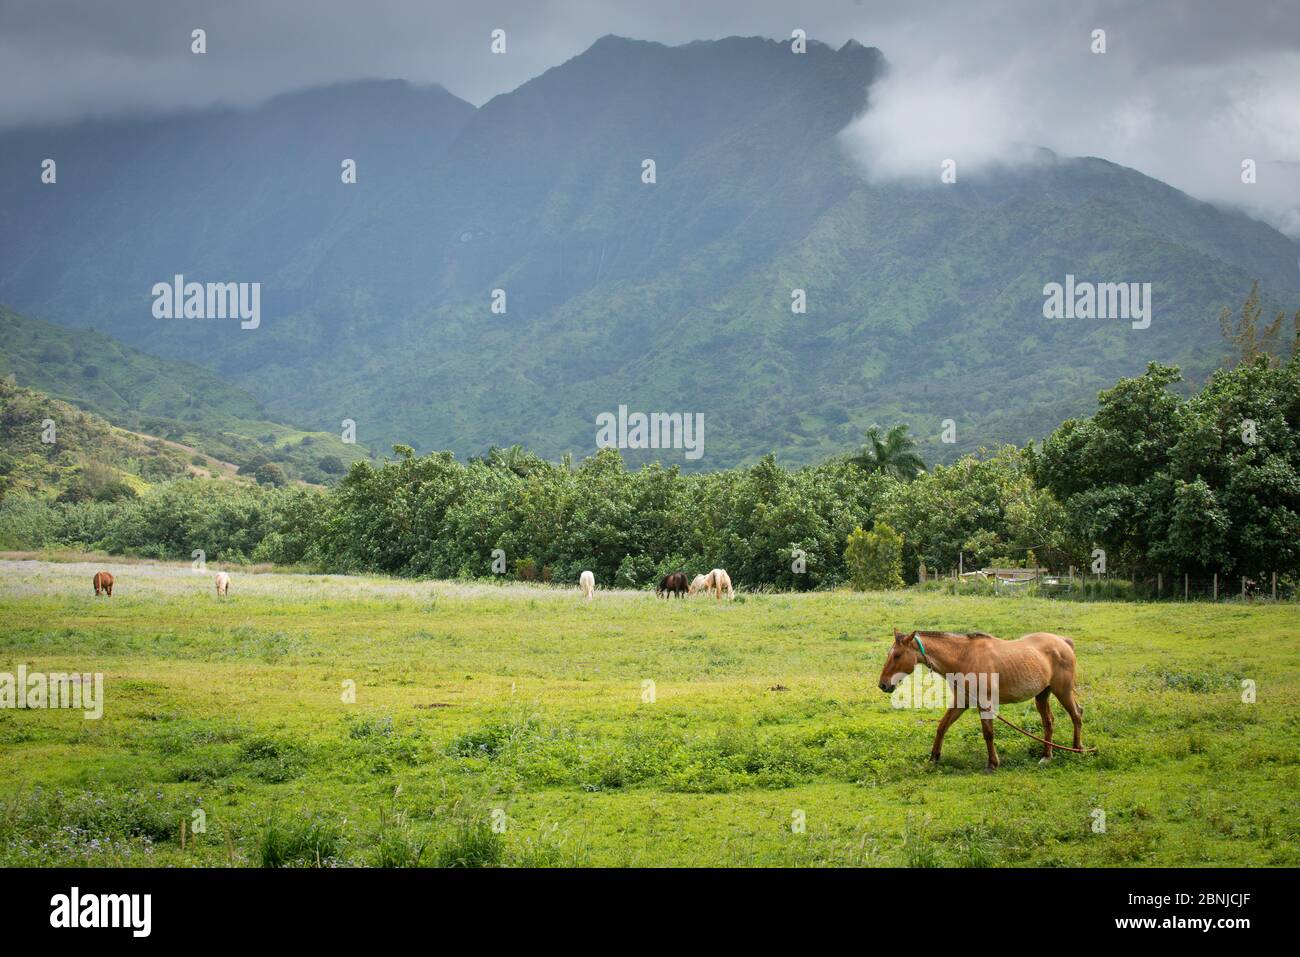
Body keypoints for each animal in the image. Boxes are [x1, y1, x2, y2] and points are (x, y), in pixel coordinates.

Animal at [878, 629, 1081, 769]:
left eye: (897, 655)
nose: (883, 685)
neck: (963, 657)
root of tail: (1063, 642)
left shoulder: (985, 704)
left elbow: (988, 733)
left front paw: (993, 762)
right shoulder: (961, 702)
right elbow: (942, 727)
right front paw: (934, 756)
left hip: (1063, 692)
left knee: (1077, 715)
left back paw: (1077, 748)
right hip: (1042, 695)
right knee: (1048, 722)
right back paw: (1046, 755)